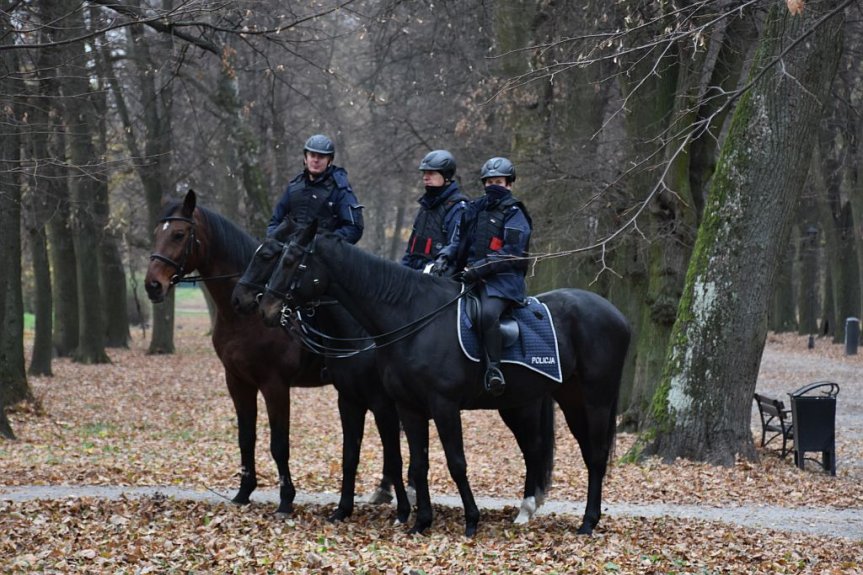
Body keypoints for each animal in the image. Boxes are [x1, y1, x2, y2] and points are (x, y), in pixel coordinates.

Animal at [143, 191, 410, 524]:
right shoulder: (238, 382)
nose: (152, 285)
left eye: (179, 234)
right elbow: (246, 437)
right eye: (157, 232)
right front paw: (243, 493)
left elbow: (279, 444)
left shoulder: (275, 385)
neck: (243, 318)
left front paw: (285, 500)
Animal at [260, 223, 632, 536]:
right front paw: (420, 521)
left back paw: (588, 522)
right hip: (557, 399)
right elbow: (415, 462)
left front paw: (470, 520)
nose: (267, 308)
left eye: (290, 260)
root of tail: (617, 315)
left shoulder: (440, 405)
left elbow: (454, 462)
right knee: (551, 450)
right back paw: (533, 511)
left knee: (595, 454)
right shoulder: (404, 407)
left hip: (596, 398)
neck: (411, 319)